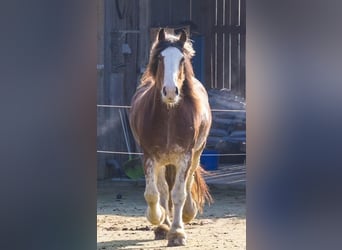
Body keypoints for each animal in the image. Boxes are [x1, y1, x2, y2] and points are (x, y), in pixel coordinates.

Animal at [130, 28, 212, 246]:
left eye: (182, 59)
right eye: (160, 58)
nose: (170, 91)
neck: (169, 117)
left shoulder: (185, 156)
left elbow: (179, 193)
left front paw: (177, 233)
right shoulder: (149, 156)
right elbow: (153, 194)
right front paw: (158, 220)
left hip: (196, 153)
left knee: (188, 182)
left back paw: (188, 213)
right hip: (162, 161)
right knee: (162, 189)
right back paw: (162, 226)